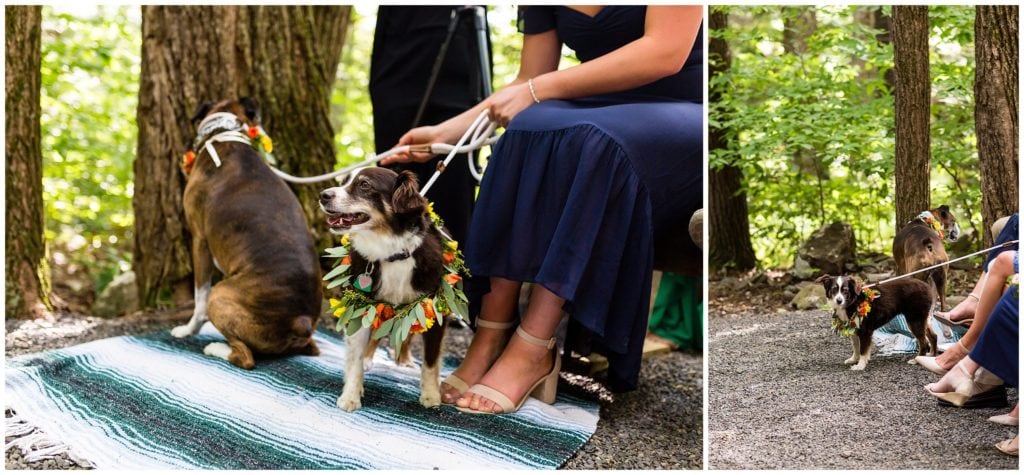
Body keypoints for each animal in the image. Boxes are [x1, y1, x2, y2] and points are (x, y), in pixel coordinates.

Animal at [172, 98, 321, 368]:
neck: (224, 133)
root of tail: (300, 320)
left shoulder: (199, 241)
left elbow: (199, 298)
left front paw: (188, 330)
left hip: (220, 295)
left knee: (245, 357)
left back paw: (216, 347)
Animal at [317, 167, 446, 411]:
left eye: (365, 185)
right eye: (343, 181)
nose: (323, 195)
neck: (391, 253)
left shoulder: (432, 308)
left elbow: (431, 361)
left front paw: (431, 395)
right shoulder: (360, 307)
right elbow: (355, 358)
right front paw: (351, 395)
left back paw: (405, 361)